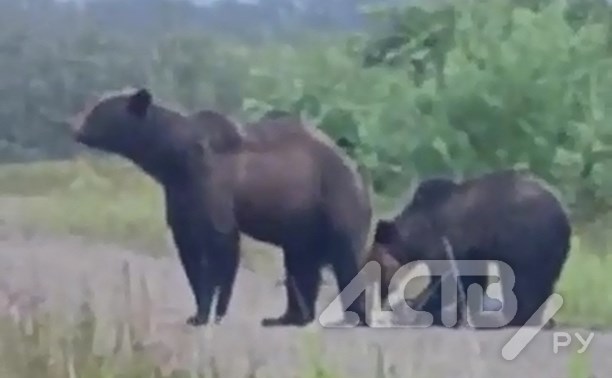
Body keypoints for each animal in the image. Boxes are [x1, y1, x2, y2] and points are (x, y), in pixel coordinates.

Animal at [69, 87, 370, 326]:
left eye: (97, 111)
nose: (76, 129)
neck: (175, 162)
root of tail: (354, 167)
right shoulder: (181, 198)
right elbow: (189, 250)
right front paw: (198, 312)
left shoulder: (213, 189)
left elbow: (219, 246)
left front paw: (213, 310)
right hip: (303, 222)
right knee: (300, 264)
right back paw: (287, 317)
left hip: (334, 199)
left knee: (347, 257)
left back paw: (353, 316)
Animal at [364, 170, 568, 330]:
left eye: (376, 268)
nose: (378, 297)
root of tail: (563, 215)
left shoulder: (450, 243)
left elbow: (451, 280)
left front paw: (420, 307)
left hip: (527, 242)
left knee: (526, 282)